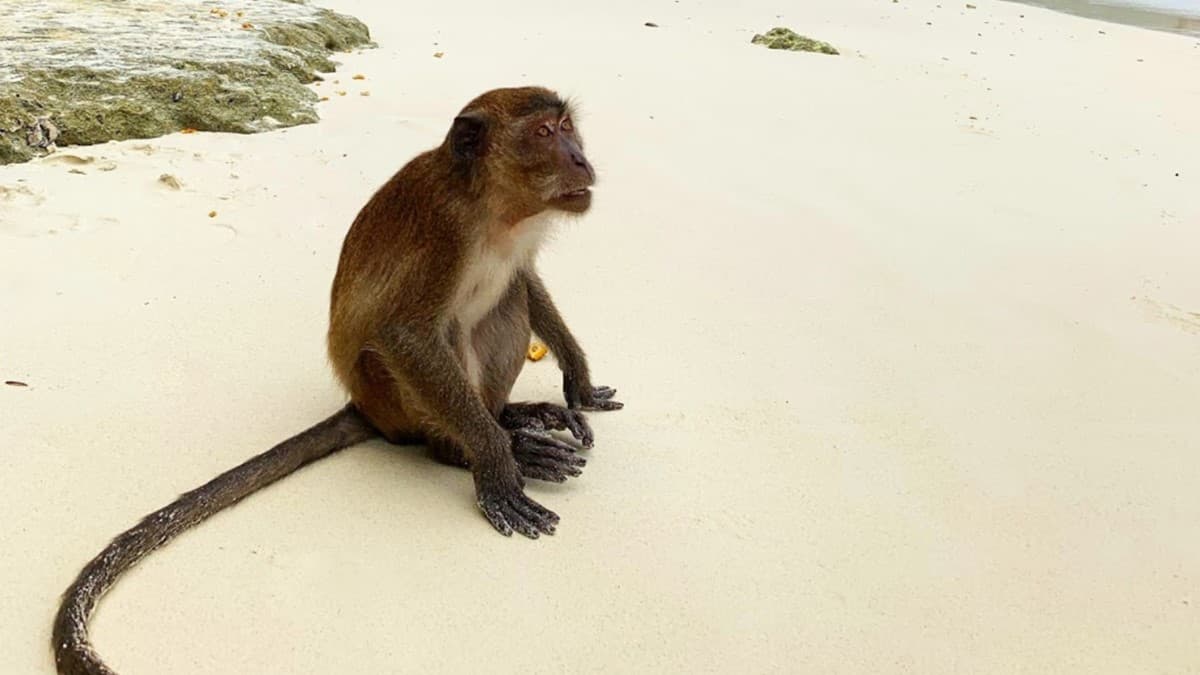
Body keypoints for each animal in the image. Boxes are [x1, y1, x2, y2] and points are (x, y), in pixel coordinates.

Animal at [51, 86, 622, 675]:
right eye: (543, 134)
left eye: (567, 127)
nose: (581, 159)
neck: (493, 208)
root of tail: (363, 408)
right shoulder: (444, 233)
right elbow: (404, 334)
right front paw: (494, 462)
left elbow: (525, 278)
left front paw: (577, 378)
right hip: (392, 396)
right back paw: (474, 446)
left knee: (508, 299)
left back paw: (509, 417)